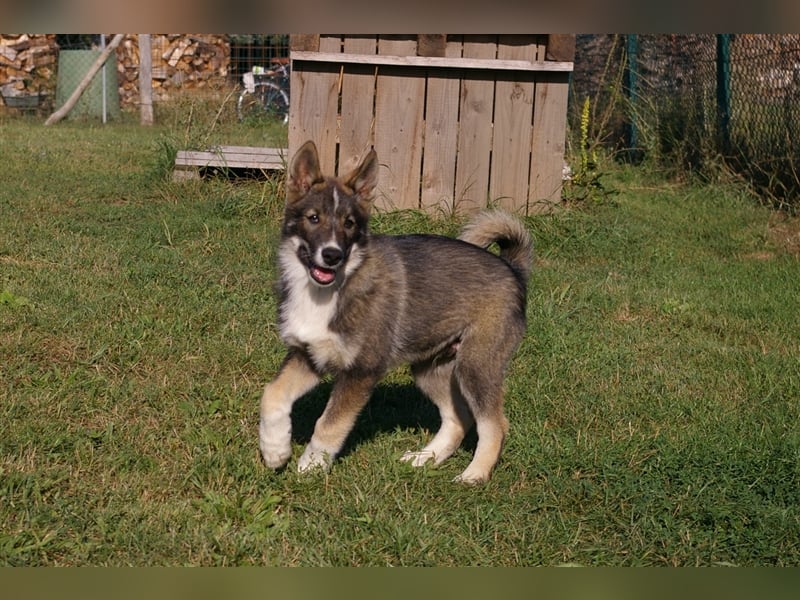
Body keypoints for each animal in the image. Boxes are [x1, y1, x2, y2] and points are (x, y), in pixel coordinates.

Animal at [260, 141, 532, 482]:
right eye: (313, 218)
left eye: (349, 224)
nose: (332, 255)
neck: (327, 291)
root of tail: (512, 268)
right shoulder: (308, 356)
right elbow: (271, 394)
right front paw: (274, 450)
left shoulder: (361, 371)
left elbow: (330, 423)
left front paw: (311, 466)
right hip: (430, 366)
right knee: (458, 419)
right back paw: (424, 458)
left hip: (476, 365)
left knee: (494, 424)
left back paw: (473, 475)